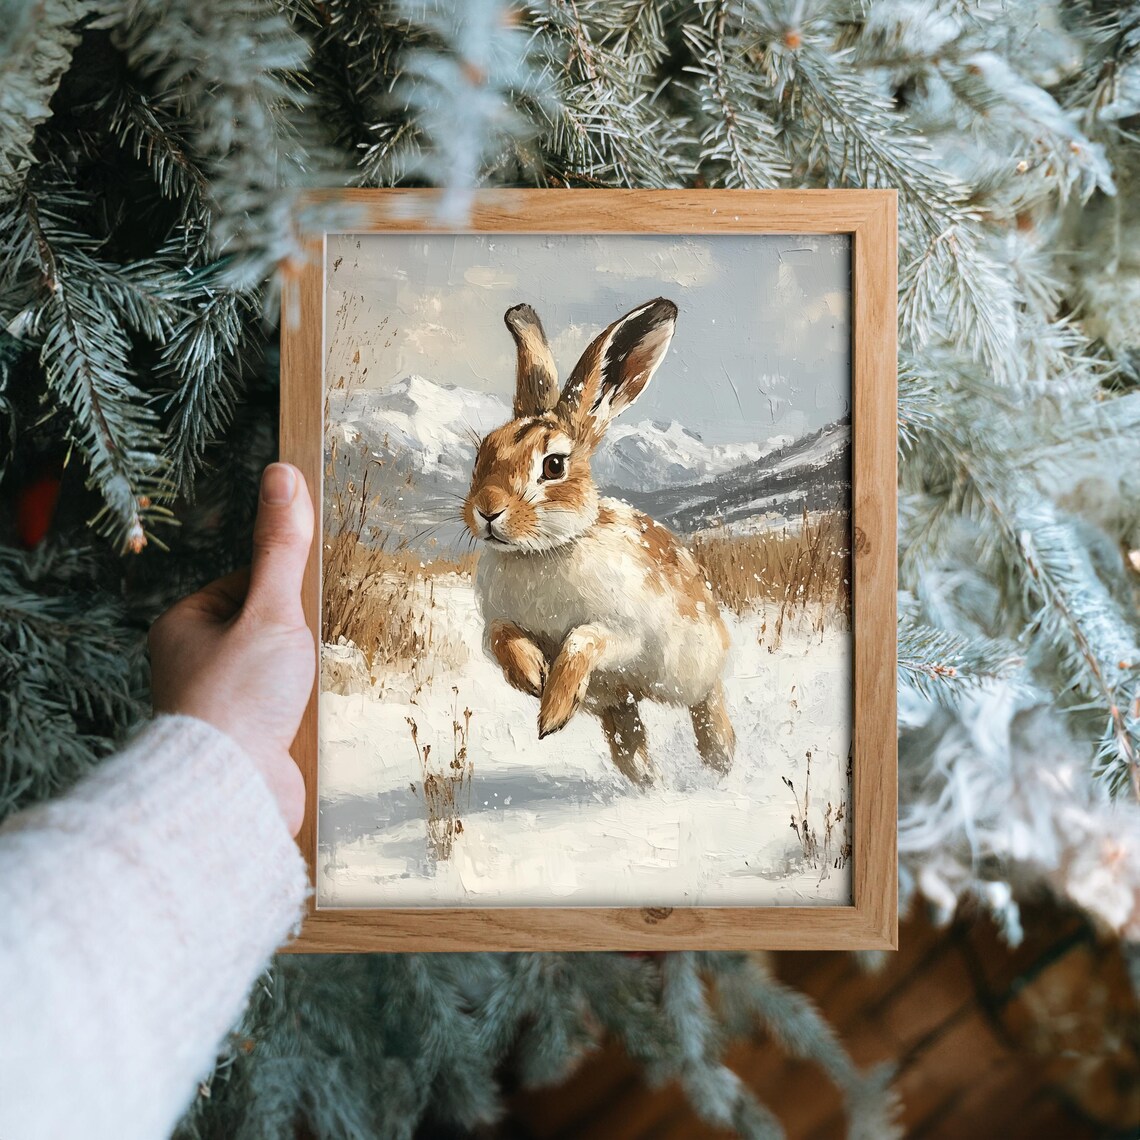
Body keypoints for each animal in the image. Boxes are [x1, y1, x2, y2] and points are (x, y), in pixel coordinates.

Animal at [462, 297, 736, 786]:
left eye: (553, 465)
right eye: (481, 455)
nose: (488, 510)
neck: (543, 550)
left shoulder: (626, 633)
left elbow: (582, 639)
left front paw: (552, 708)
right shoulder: (496, 622)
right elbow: (497, 635)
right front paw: (532, 676)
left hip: (695, 680)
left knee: (711, 720)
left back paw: (720, 773)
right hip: (618, 709)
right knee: (633, 752)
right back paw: (650, 789)